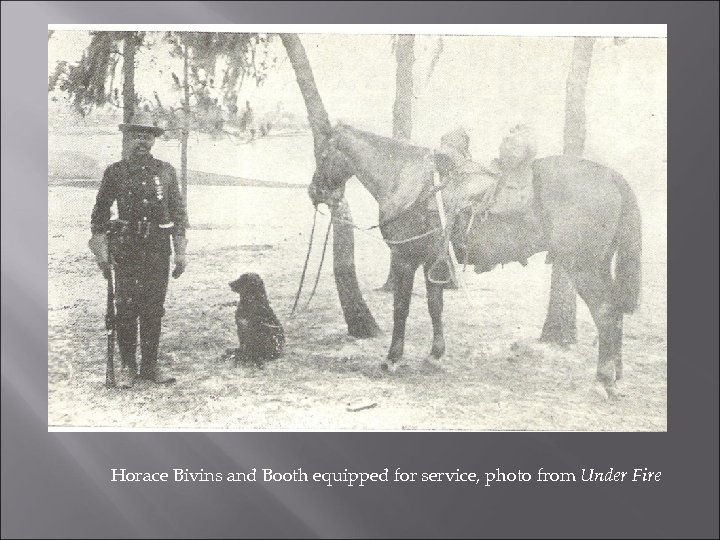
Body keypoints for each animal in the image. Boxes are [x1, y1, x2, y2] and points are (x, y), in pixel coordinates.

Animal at [310, 123, 640, 396]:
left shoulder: (405, 258)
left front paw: (392, 358)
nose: (315, 192)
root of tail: (611, 176)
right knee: (616, 313)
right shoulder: (433, 260)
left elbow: (401, 310)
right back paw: (616, 375)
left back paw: (602, 380)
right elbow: (435, 307)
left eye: (323, 153)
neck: (406, 179)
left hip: (584, 267)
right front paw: (435, 354)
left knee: (606, 312)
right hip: (599, 265)